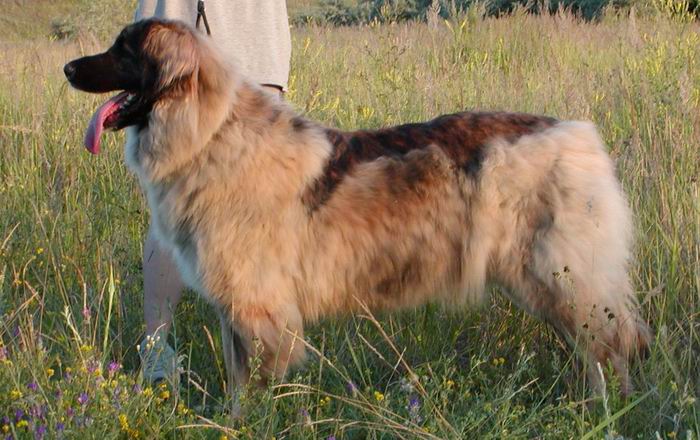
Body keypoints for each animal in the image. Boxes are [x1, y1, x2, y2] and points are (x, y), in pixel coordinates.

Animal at [64, 18, 650, 401]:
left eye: (123, 50)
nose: (68, 67)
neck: (210, 133)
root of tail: (579, 134)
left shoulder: (256, 306)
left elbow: (252, 385)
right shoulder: (239, 306)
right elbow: (237, 382)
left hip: (564, 276)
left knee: (614, 346)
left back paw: (611, 412)